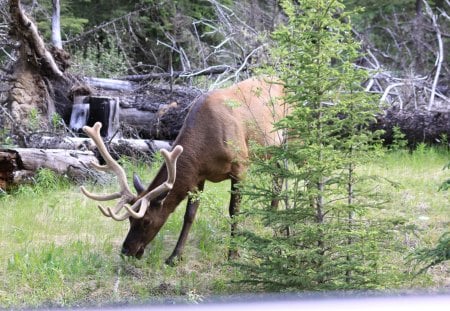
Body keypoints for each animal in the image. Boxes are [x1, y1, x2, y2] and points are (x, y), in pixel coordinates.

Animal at [81, 76, 284, 266]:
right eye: (130, 219)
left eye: (146, 221)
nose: (126, 251)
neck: (206, 145)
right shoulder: (199, 176)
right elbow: (190, 215)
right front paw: (175, 256)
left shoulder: (240, 166)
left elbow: (234, 211)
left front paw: (233, 254)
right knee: (279, 171)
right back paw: (272, 212)